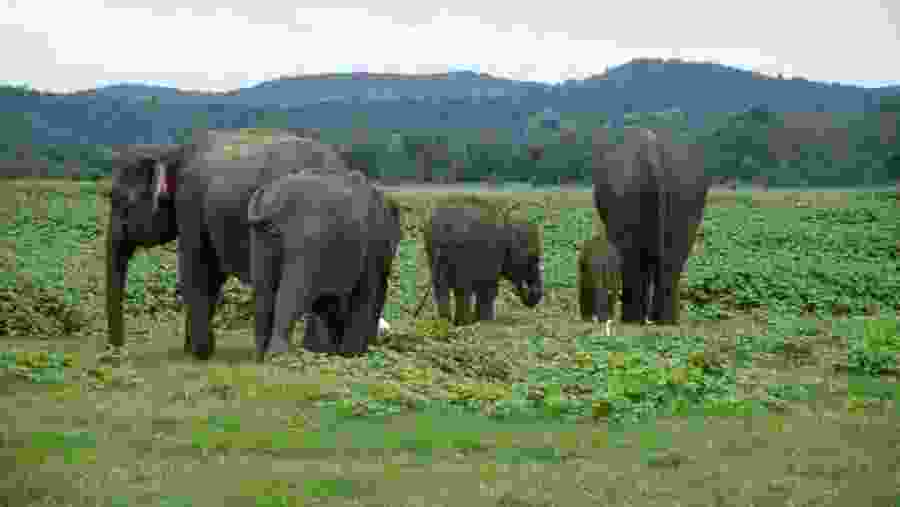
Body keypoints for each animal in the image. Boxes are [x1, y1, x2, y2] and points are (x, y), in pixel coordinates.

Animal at [106, 127, 353, 360]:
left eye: (120, 201)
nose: (117, 348)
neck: (172, 151)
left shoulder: (191, 204)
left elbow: (197, 270)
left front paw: (199, 353)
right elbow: (213, 276)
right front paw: (193, 349)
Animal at [246, 170, 401, 359]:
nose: (379, 341)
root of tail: (267, 203)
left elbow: (329, 301)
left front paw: (336, 352)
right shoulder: (373, 248)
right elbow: (365, 293)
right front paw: (351, 355)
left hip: (261, 239)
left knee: (264, 293)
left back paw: (262, 357)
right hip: (306, 240)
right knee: (290, 294)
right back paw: (278, 356)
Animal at [423, 195, 543, 326]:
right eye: (534, 258)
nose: (535, 294)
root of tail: (444, 229)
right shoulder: (493, 256)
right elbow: (489, 289)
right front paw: (485, 321)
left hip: (433, 252)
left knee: (441, 287)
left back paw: (446, 322)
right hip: (462, 253)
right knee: (462, 288)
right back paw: (463, 322)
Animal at [591, 127, 711, 325]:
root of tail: (652, 151)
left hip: (626, 195)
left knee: (631, 259)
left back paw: (633, 321)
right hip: (685, 196)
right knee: (671, 260)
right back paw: (666, 322)